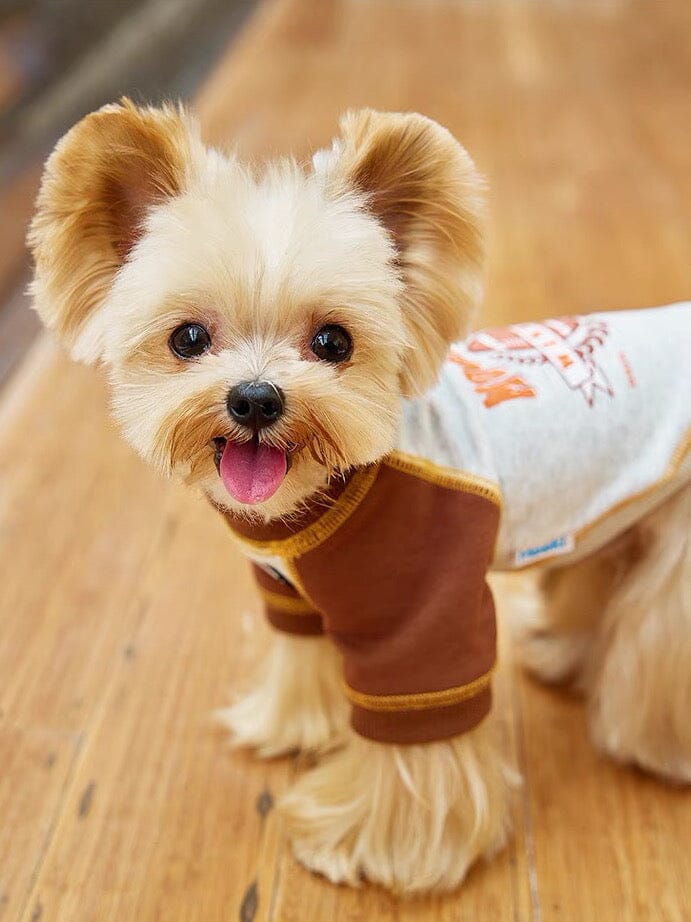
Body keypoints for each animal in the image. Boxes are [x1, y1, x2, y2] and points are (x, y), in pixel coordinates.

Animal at [29, 100, 688, 892]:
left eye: (332, 342)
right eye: (187, 337)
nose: (254, 398)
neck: (327, 490)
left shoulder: (423, 617)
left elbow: (414, 742)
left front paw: (372, 846)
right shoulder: (292, 591)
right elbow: (302, 659)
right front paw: (293, 728)